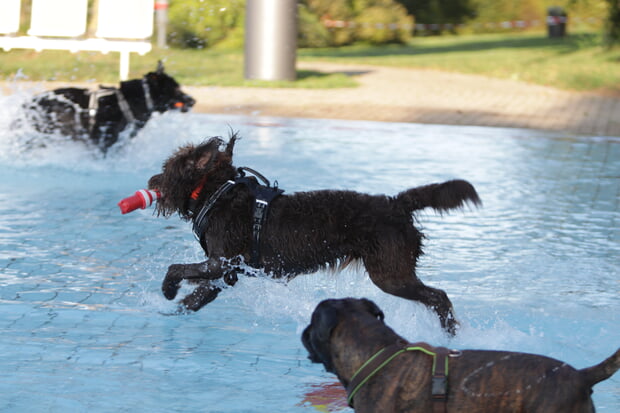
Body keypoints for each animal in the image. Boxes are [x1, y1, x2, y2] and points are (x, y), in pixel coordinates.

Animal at [148, 134, 482, 334]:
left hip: (390, 273)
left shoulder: (222, 262)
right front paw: (178, 308)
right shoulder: (228, 271)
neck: (217, 192)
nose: (151, 181)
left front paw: (168, 290)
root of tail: (396, 203)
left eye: (166, 168)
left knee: (439, 297)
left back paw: (451, 333)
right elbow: (199, 294)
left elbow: (176, 268)